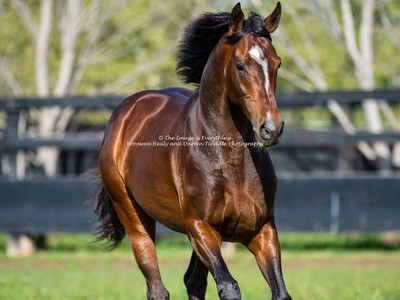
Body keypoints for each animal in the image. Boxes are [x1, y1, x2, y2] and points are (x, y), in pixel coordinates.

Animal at [96, 2, 290, 300]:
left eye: (277, 63)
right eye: (240, 65)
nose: (271, 128)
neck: (229, 161)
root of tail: (124, 113)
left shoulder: (262, 230)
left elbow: (280, 291)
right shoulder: (201, 229)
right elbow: (229, 288)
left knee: (193, 281)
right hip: (133, 216)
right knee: (156, 286)